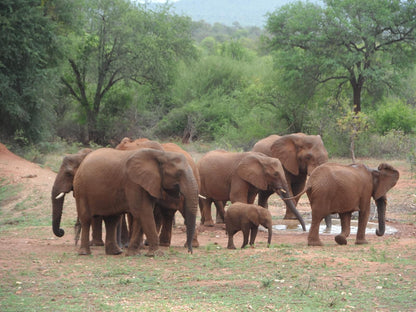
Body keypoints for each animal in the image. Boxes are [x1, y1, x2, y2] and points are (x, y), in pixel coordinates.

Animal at [54, 148, 198, 256]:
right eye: (178, 174)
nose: (190, 252)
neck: (161, 154)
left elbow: (142, 214)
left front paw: (134, 253)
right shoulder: (134, 183)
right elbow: (143, 212)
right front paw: (156, 254)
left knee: (112, 220)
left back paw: (115, 252)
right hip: (82, 189)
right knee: (86, 219)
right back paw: (85, 253)